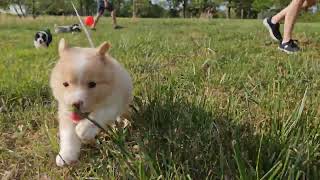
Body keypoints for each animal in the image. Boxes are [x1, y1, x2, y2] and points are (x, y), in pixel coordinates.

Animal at [50, 38, 132, 167]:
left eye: (92, 84)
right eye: (65, 84)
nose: (75, 104)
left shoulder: (113, 102)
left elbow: (99, 114)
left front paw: (84, 130)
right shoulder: (65, 111)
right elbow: (68, 135)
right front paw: (65, 155)